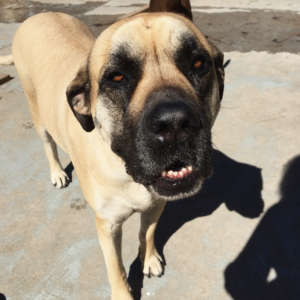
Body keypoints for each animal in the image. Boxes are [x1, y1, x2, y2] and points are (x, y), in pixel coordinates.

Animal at [5, 1, 225, 298]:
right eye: (117, 77)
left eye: (198, 63)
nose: (175, 124)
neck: (125, 171)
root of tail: (38, 17)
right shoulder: (107, 226)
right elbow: (116, 267)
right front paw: (123, 291)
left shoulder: (156, 204)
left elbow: (147, 232)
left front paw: (149, 259)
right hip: (36, 112)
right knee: (48, 143)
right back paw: (57, 173)